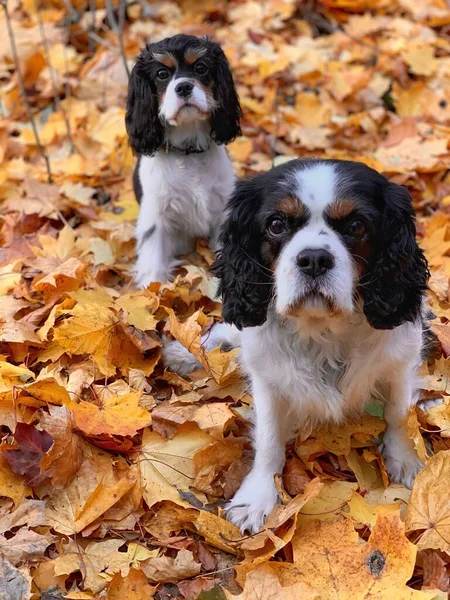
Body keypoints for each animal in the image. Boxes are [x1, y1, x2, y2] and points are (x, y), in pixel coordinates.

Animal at [125, 33, 241, 288]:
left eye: (201, 68)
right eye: (162, 74)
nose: (184, 86)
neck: (188, 150)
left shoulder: (223, 209)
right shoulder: (155, 214)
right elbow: (153, 257)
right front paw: (152, 291)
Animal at [163, 159, 430, 536]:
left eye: (356, 226)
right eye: (276, 225)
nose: (314, 259)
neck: (322, 332)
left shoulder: (399, 363)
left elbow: (398, 414)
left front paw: (404, 459)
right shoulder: (267, 381)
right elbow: (269, 440)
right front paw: (257, 498)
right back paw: (190, 352)